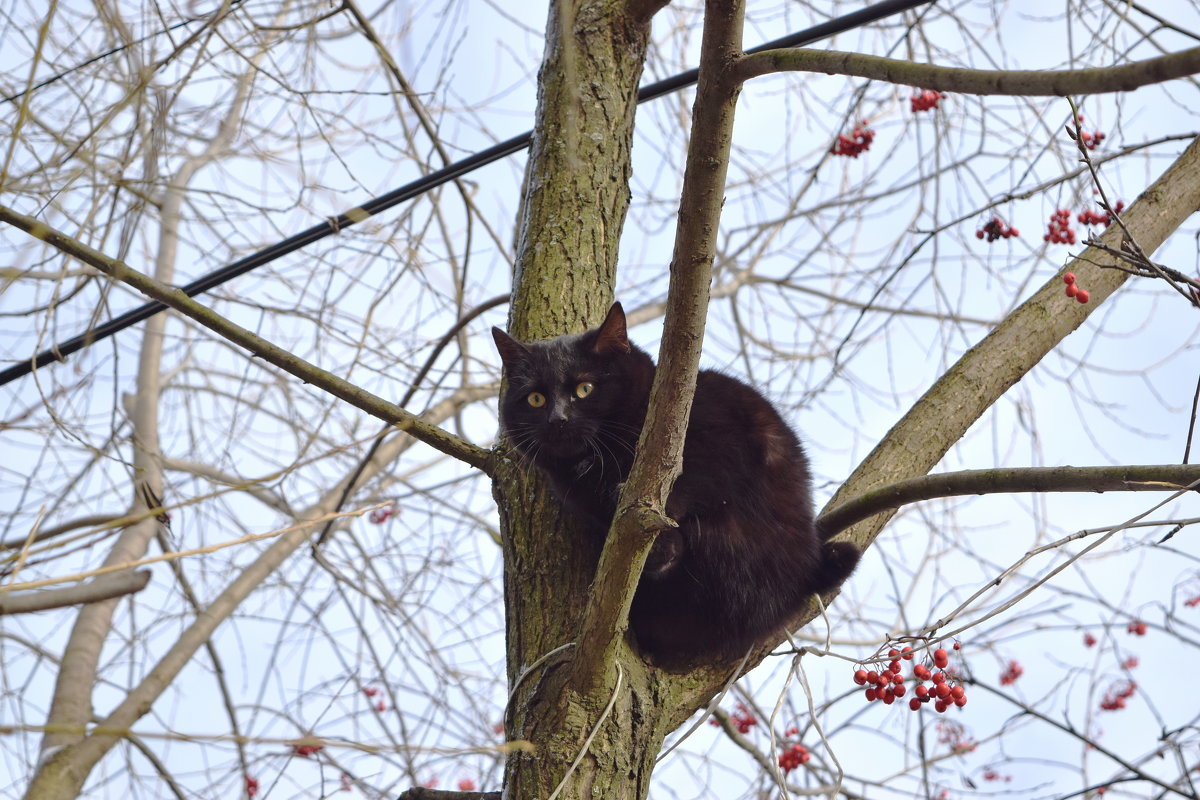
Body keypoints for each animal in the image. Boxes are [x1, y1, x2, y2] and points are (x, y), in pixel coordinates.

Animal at [492, 303, 859, 666]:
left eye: (585, 389)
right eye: (536, 399)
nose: (558, 419)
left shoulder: (717, 435)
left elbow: (687, 480)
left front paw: (660, 545)